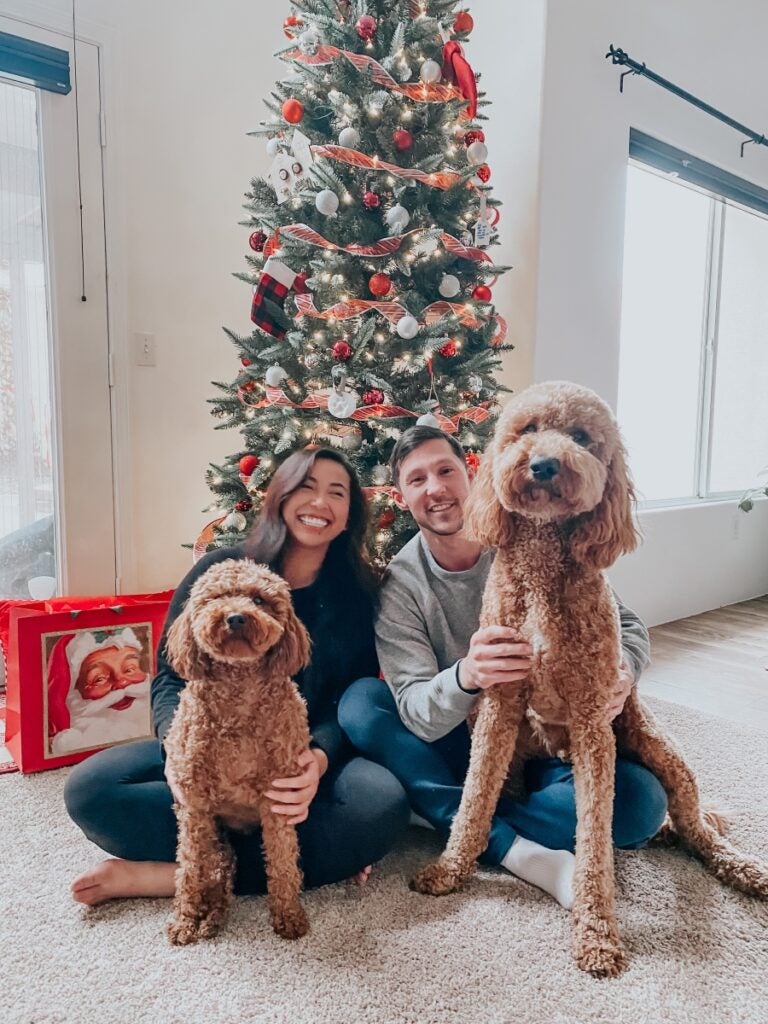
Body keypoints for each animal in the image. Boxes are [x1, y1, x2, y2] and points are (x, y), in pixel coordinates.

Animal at [163, 561, 311, 942]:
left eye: (259, 599)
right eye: (215, 598)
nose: (235, 617)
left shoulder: (278, 799)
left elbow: (283, 861)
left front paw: (288, 915)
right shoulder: (194, 806)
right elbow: (189, 869)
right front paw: (184, 920)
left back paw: (212, 918)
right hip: (215, 835)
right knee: (213, 873)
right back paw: (206, 917)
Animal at [415, 378, 768, 974]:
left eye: (581, 437)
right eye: (527, 429)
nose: (544, 465)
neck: (541, 563)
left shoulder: (591, 721)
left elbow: (596, 838)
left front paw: (598, 932)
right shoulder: (499, 704)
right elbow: (474, 797)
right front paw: (449, 869)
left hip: (661, 753)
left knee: (694, 825)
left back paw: (742, 868)